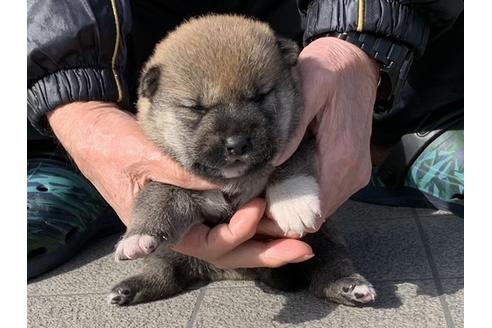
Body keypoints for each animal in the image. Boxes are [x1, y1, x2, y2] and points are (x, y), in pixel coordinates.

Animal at [108, 14, 376, 308]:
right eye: (197, 108)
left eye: (259, 96)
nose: (236, 143)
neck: (234, 179)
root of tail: (225, 272)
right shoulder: (173, 180)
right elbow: (157, 195)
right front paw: (137, 236)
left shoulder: (300, 137)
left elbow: (288, 165)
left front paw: (293, 205)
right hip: (172, 251)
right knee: (165, 272)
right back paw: (129, 288)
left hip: (324, 238)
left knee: (329, 267)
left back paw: (350, 286)